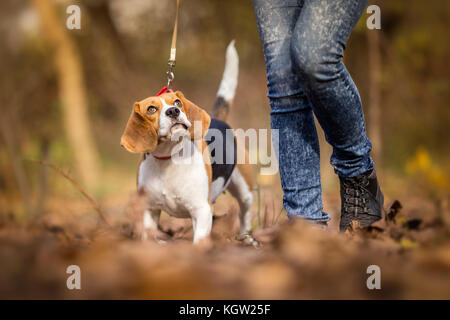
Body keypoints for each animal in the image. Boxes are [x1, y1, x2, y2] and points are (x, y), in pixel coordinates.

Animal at [120, 42, 253, 242]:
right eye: (151, 109)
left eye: (177, 102)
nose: (173, 111)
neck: (168, 159)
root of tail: (216, 118)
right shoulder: (150, 210)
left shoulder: (202, 210)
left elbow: (199, 242)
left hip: (244, 190)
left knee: (244, 213)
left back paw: (246, 236)